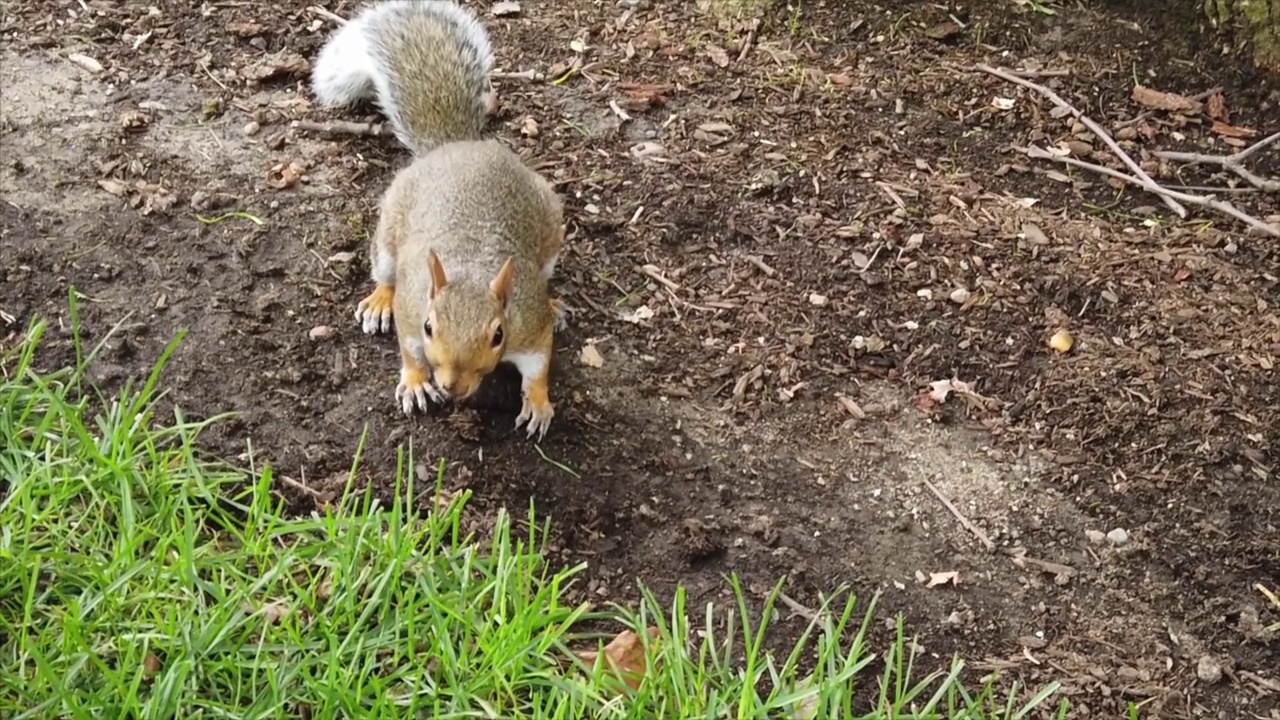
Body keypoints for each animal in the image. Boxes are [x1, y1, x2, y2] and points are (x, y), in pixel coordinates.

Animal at [309, 0, 565, 438]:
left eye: (498, 334)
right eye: (430, 327)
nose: (452, 386)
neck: (471, 268)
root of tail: (455, 146)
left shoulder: (530, 322)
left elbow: (538, 365)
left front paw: (537, 402)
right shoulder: (413, 311)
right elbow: (410, 351)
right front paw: (415, 382)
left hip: (549, 231)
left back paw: (558, 302)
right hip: (388, 234)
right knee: (384, 273)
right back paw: (379, 301)